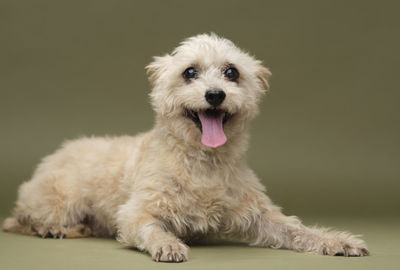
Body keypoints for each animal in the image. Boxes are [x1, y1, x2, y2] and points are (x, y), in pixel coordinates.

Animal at [1, 33, 368, 262]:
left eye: (232, 72)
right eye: (189, 72)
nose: (215, 94)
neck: (203, 162)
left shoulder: (259, 215)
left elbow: (296, 229)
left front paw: (337, 240)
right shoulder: (136, 213)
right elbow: (149, 228)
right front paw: (167, 244)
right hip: (62, 199)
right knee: (21, 218)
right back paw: (52, 229)